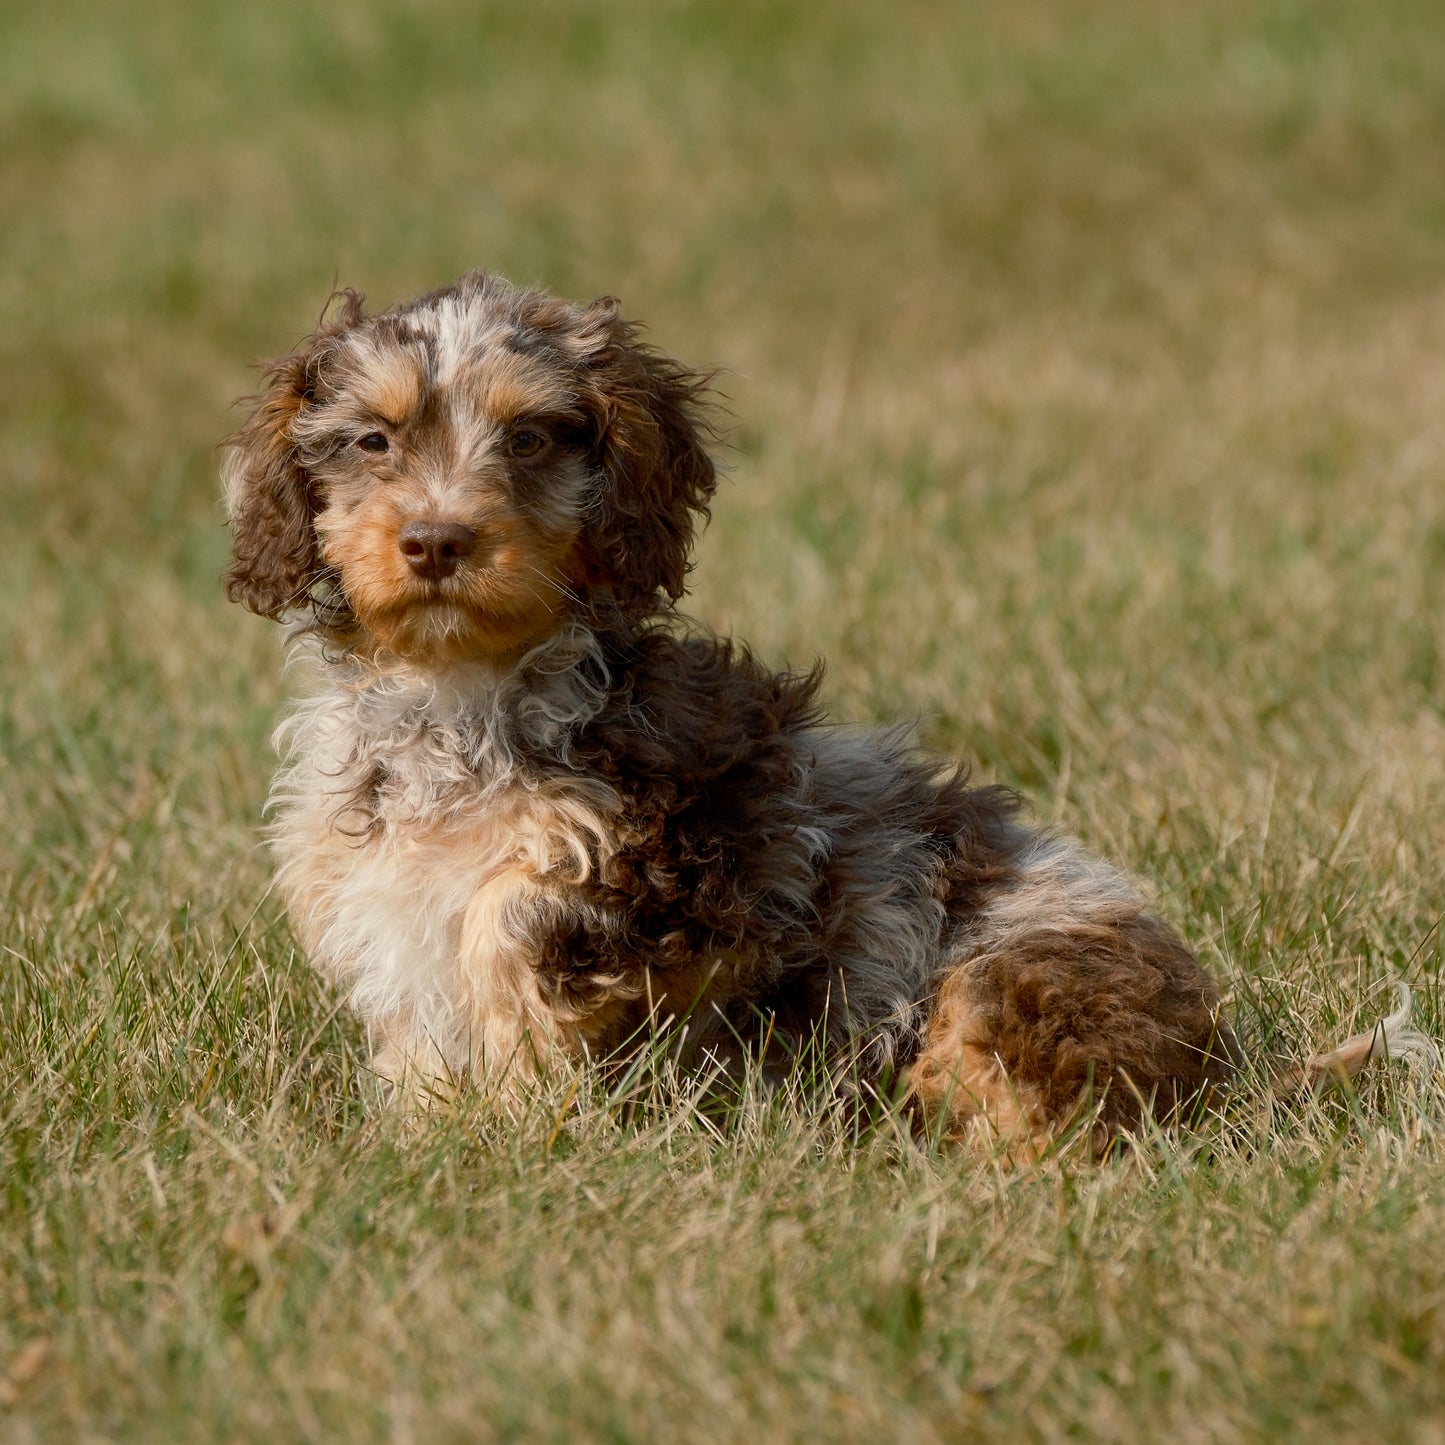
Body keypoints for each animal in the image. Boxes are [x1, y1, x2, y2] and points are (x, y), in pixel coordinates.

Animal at [225, 268, 1433, 1150]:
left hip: (1007, 976)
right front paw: (430, 1143)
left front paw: (530, 1127)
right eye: (374, 440)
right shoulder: (375, 890)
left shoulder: (675, 859)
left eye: (526, 438)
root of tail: (1223, 1077)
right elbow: (422, 1028)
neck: (459, 692)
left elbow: (508, 921)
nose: (435, 541)